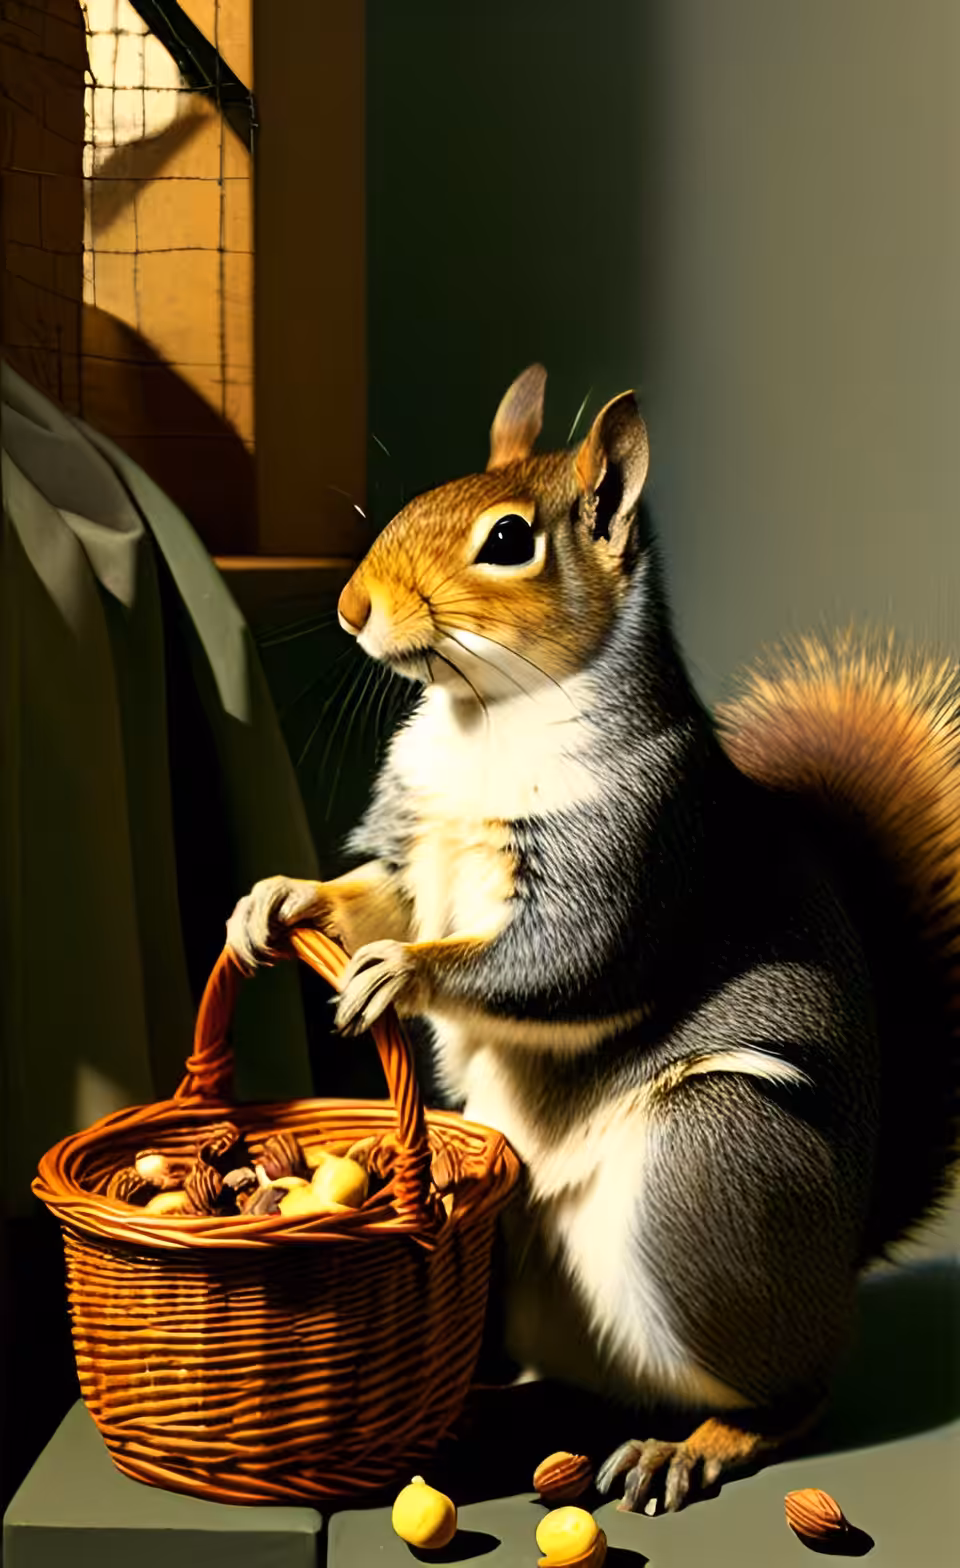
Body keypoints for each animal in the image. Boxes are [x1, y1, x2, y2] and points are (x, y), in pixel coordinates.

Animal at [227, 364, 960, 1514]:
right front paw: (280, 899)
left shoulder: (636, 858)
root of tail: (837, 1271)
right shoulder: (415, 852)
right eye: (425, 492)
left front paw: (403, 974)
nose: (352, 608)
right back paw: (495, 1402)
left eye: (508, 538)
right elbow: (380, 895)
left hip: (716, 1171)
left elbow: (554, 964)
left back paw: (696, 1442)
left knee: (793, 1396)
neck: (484, 718)